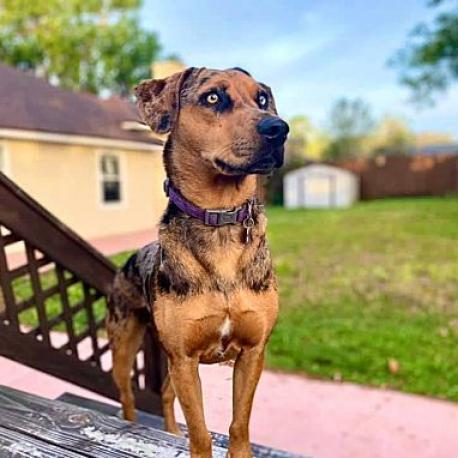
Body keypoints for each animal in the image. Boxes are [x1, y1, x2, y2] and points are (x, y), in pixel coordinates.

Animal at [105, 66, 288, 456]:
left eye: (262, 98)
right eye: (213, 97)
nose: (279, 129)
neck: (220, 216)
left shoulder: (252, 352)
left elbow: (239, 423)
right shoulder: (185, 358)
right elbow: (201, 431)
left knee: (164, 394)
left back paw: (172, 432)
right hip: (124, 344)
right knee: (127, 396)